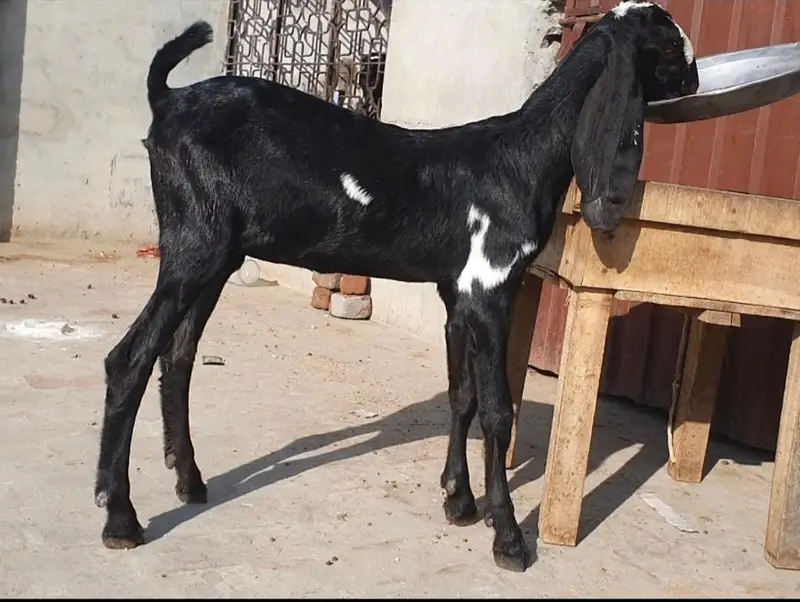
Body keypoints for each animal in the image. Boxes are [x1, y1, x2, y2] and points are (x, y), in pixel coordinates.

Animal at [94, 0, 698, 573]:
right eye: (671, 46)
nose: (694, 83)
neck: (520, 157)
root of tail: (167, 101)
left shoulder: (456, 293)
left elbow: (461, 395)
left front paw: (459, 501)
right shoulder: (491, 287)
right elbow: (498, 411)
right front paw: (508, 538)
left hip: (217, 252)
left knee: (178, 353)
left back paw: (190, 481)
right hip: (196, 243)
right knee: (130, 358)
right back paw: (121, 518)